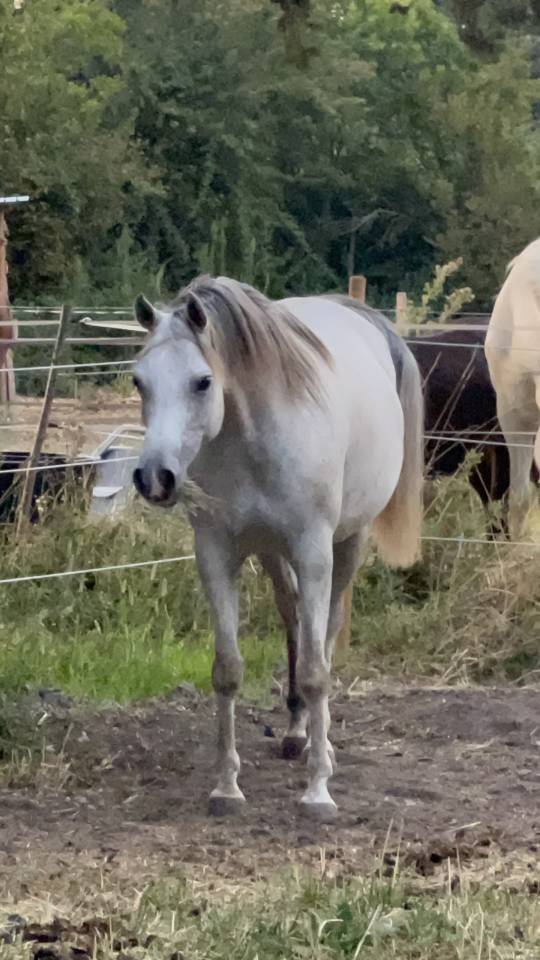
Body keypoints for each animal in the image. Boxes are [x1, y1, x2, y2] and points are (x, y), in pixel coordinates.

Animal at [131, 277, 423, 820]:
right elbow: (227, 670)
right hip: (272, 552)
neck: (251, 437)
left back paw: (320, 744)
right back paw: (296, 731)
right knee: (293, 618)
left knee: (325, 631)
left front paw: (318, 791)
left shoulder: (313, 552)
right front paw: (226, 787)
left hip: (347, 544)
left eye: (202, 382)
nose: (154, 478)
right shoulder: (216, 554)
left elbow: (315, 671)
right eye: (139, 381)